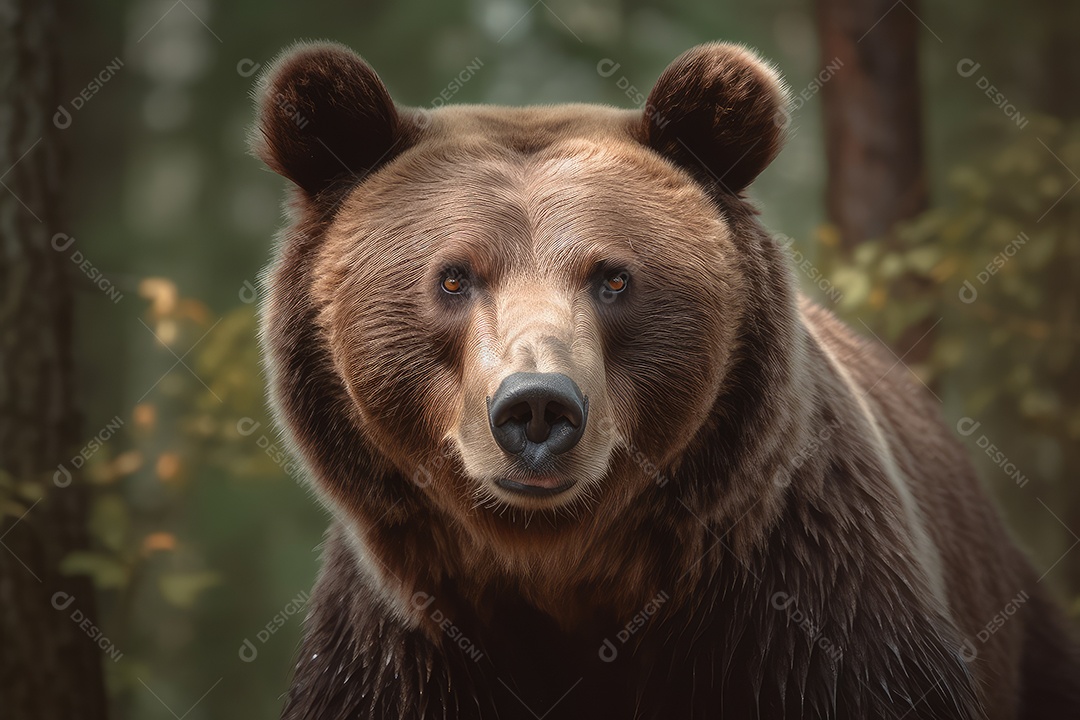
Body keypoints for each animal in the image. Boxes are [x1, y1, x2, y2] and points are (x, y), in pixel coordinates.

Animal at [250, 41, 1080, 719]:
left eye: (613, 278)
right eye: (454, 277)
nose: (537, 407)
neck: (562, 573)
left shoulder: (811, 606)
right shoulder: (401, 646)